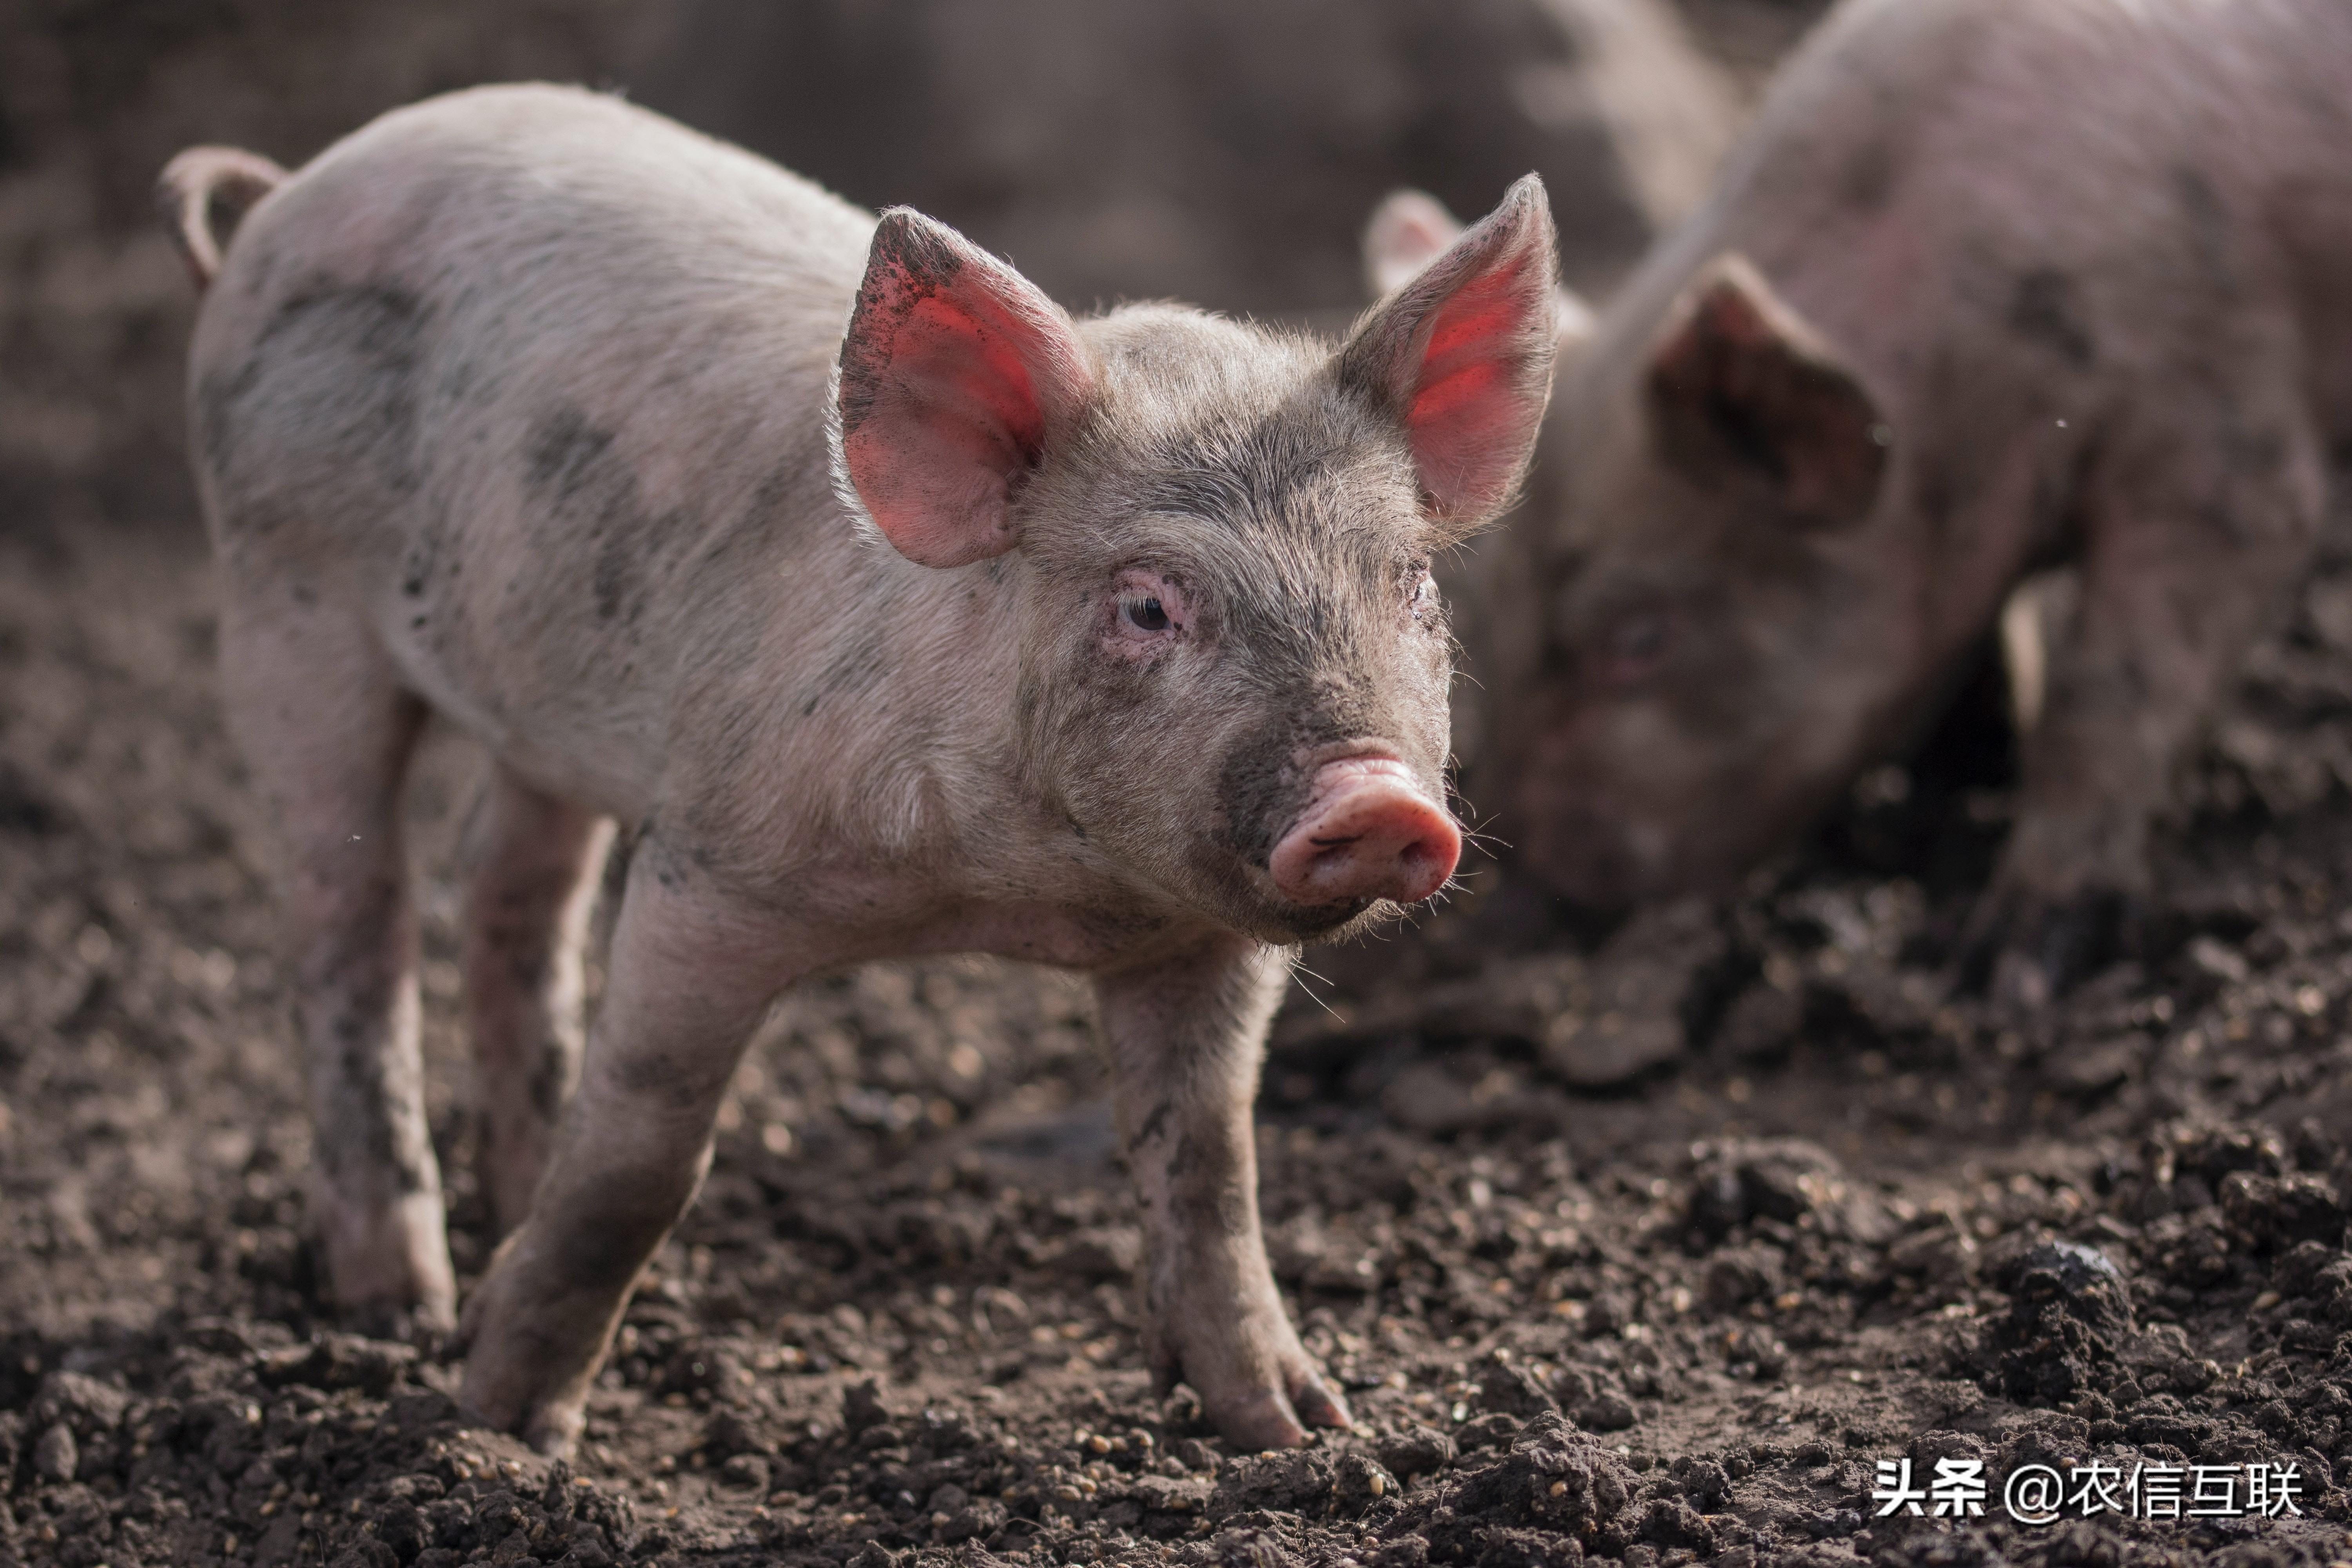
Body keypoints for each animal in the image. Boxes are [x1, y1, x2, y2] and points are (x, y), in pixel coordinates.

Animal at [166, 85, 1562, 1457]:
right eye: (1149, 605)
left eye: (1412, 583)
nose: (1375, 796)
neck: (1017, 898)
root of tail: (284, 196)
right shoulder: (711, 861)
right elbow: (642, 1160)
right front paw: (504, 1431)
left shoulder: (1202, 941)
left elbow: (1211, 1164)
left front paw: (1296, 1431)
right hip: (280, 591)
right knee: (353, 922)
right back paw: (396, 1302)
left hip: (535, 690)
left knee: (512, 892)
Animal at [1374, 0, 2352, 1006]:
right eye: (1499, 615)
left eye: (1641, 639)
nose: (1518, 907)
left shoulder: (2217, 430)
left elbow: (2114, 687)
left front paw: (2000, 972)